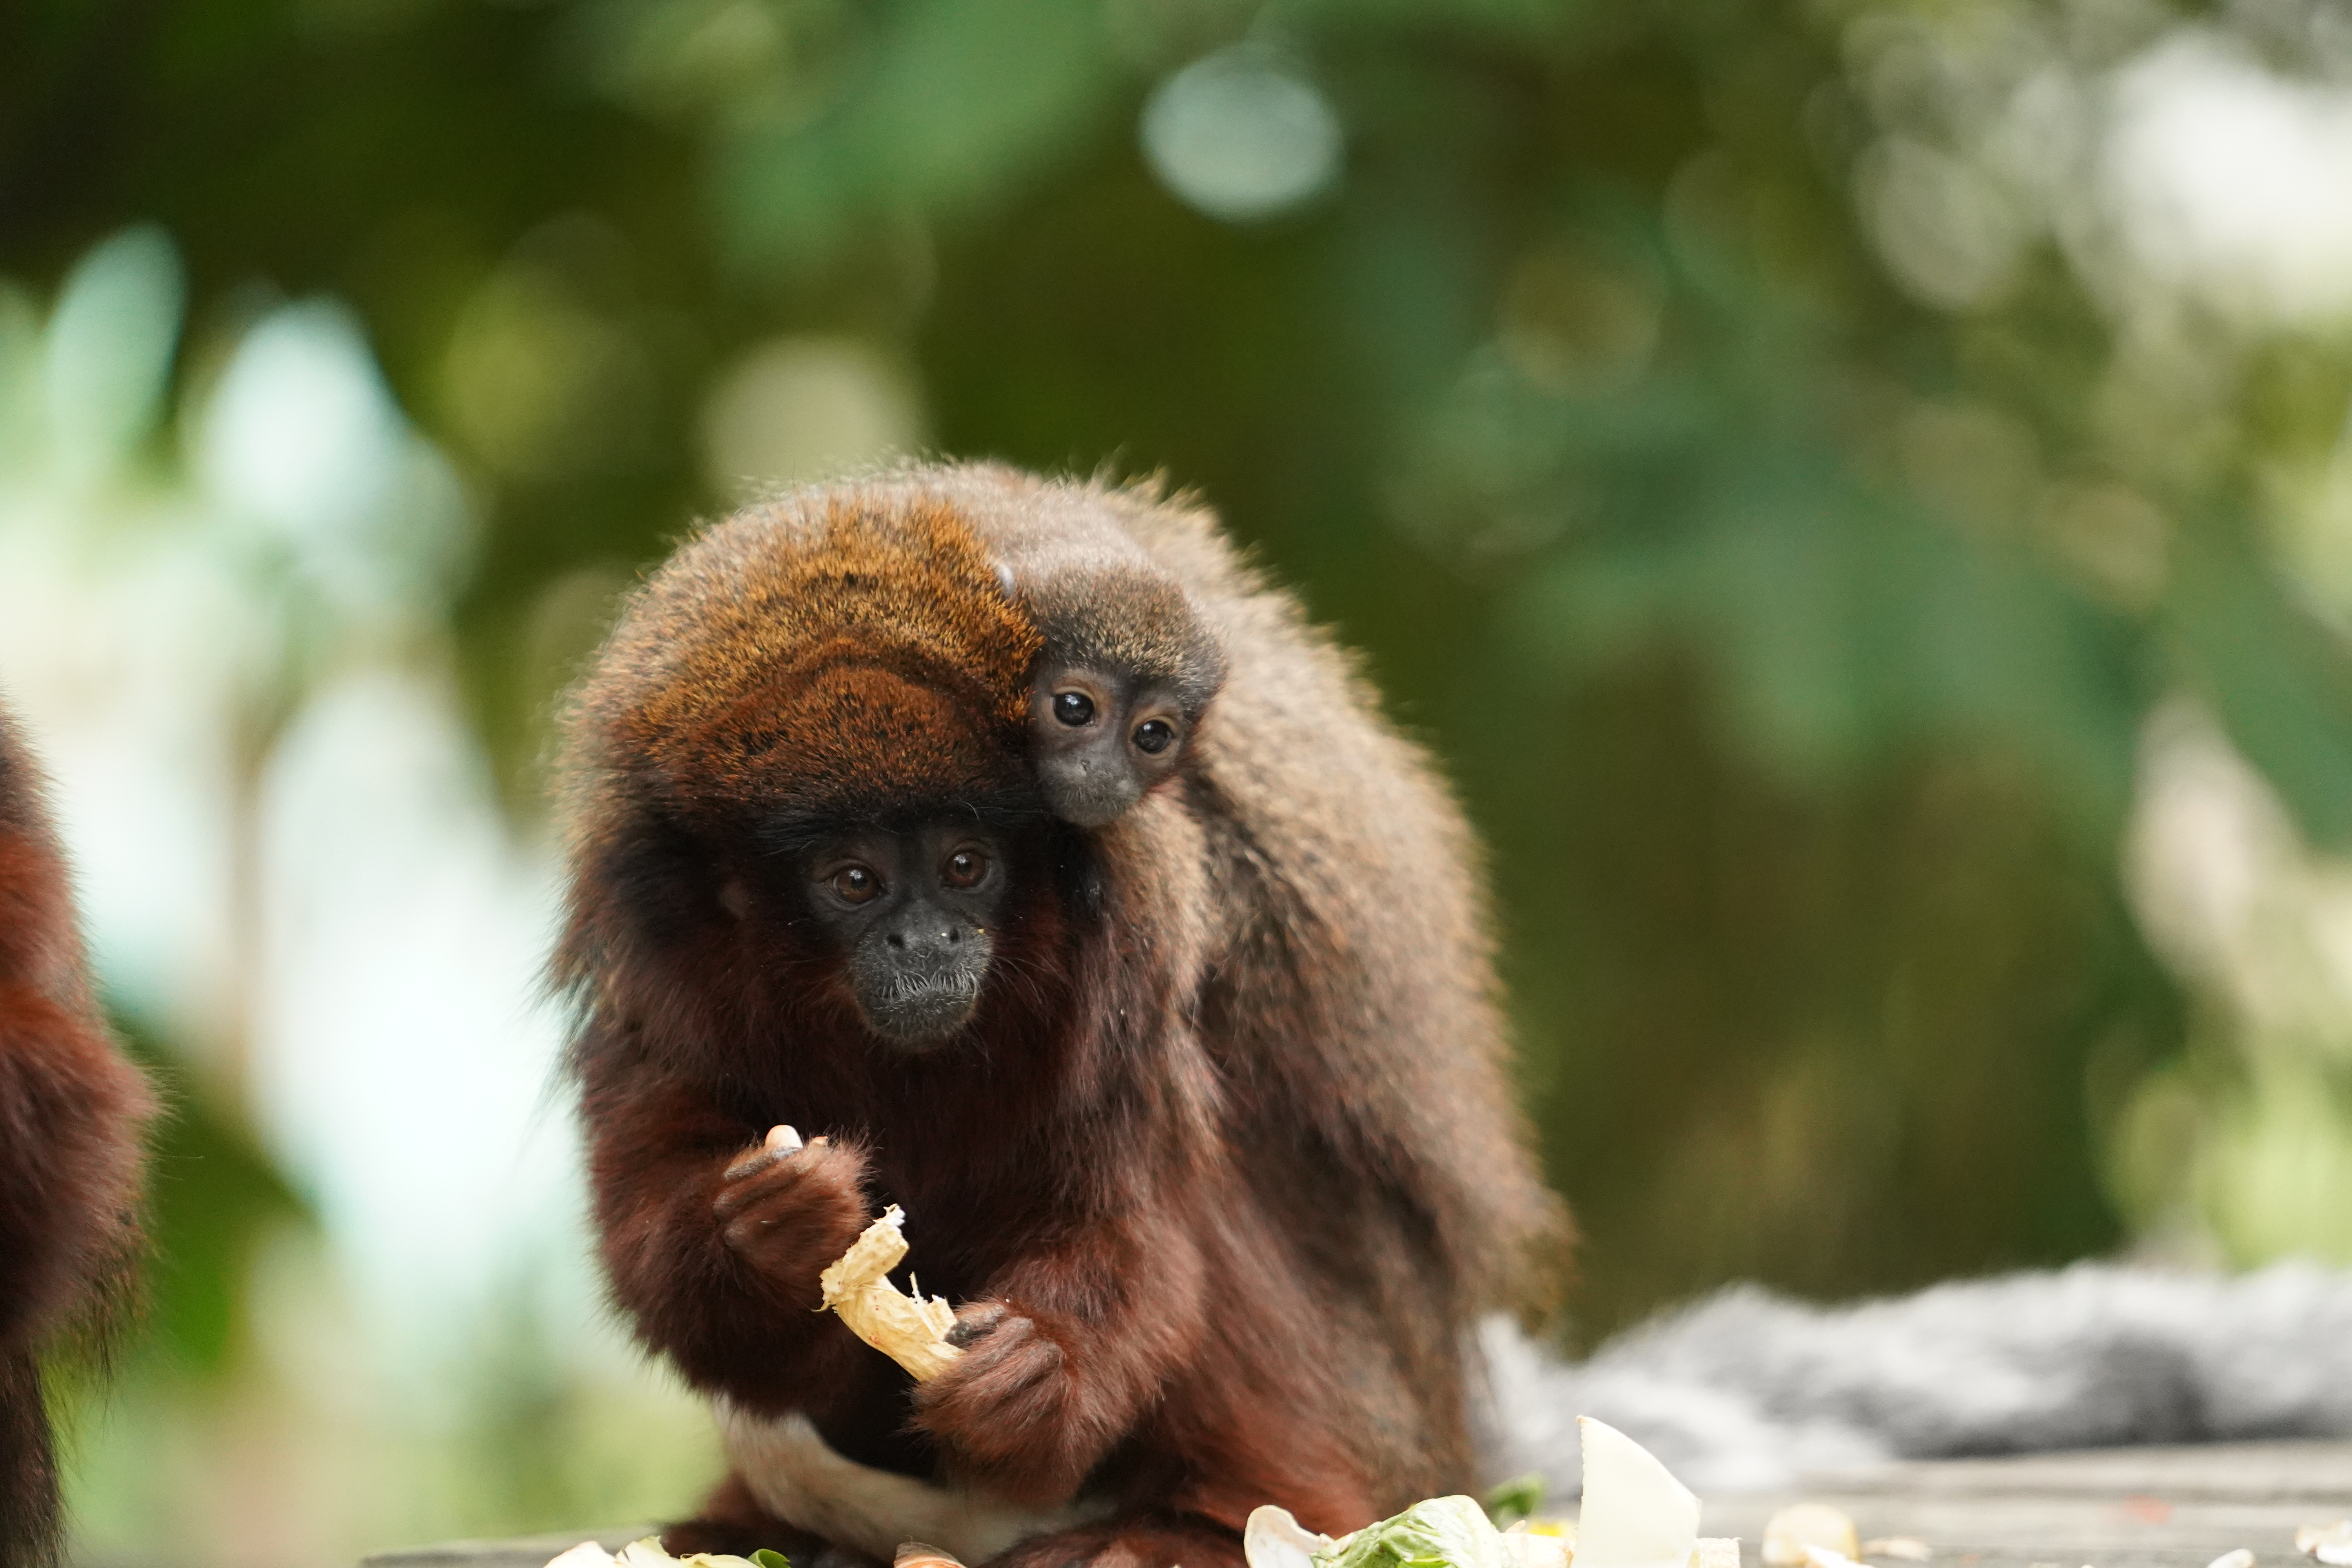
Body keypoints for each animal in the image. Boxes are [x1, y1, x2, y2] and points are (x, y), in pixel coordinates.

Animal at [554, 472, 1562, 1568]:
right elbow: (661, 1230)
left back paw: (1210, 1521)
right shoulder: (654, 963)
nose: (927, 940)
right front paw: (770, 1223)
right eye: (855, 881)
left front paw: (1038, 1376)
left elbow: (1131, 1218)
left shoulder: (1137, 928)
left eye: (966, 866)